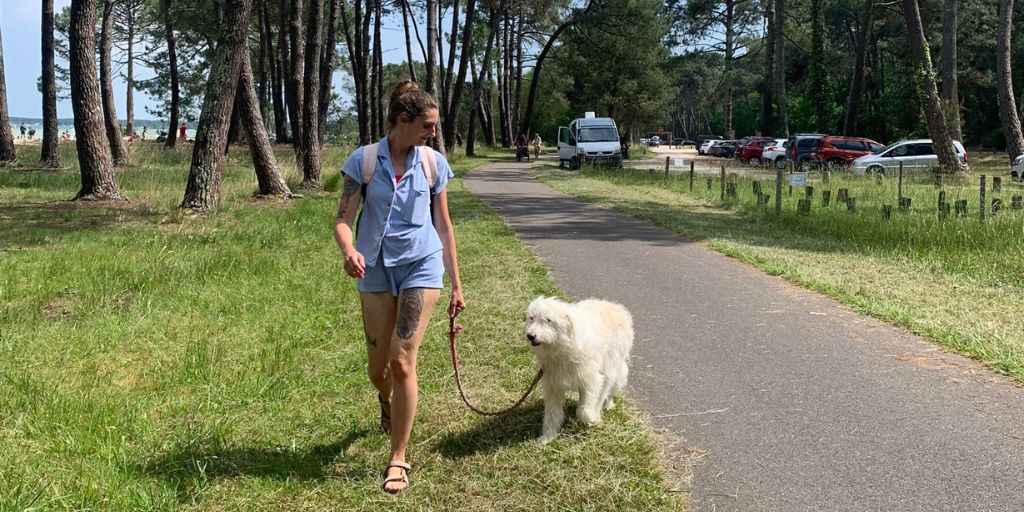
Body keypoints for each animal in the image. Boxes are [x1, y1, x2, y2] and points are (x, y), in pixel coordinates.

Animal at [524, 296, 634, 444]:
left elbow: (584, 410)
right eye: (531, 318)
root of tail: (616, 307)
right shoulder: (553, 385)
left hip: (611, 367)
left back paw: (604, 408)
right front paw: (548, 436)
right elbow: (552, 414)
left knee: (605, 391)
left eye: (548, 320)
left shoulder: (591, 380)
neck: (562, 350)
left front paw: (591, 419)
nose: (530, 335)